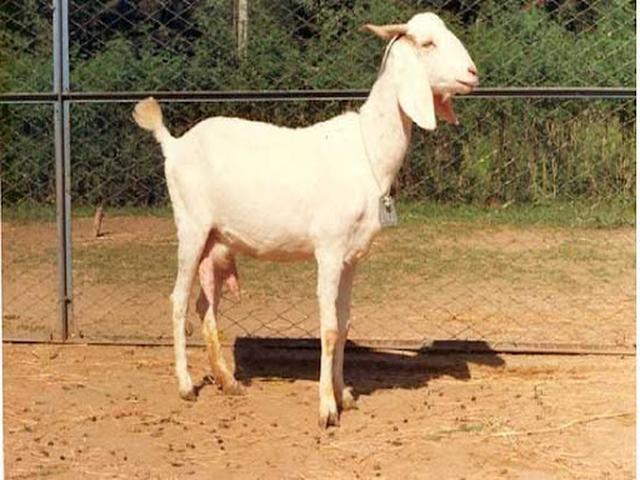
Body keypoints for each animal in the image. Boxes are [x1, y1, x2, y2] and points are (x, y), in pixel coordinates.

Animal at [133, 12, 478, 428]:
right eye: (427, 43)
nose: (473, 73)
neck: (366, 150)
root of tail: (174, 144)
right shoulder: (328, 250)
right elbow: (328, 329)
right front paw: (327, 408)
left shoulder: (352, 257)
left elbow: (344, 325)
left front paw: (345, 394)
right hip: (191, 228)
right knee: (179, 299)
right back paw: (186, 385)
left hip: (216, 240)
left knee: (205, 305)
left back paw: (228, 380)